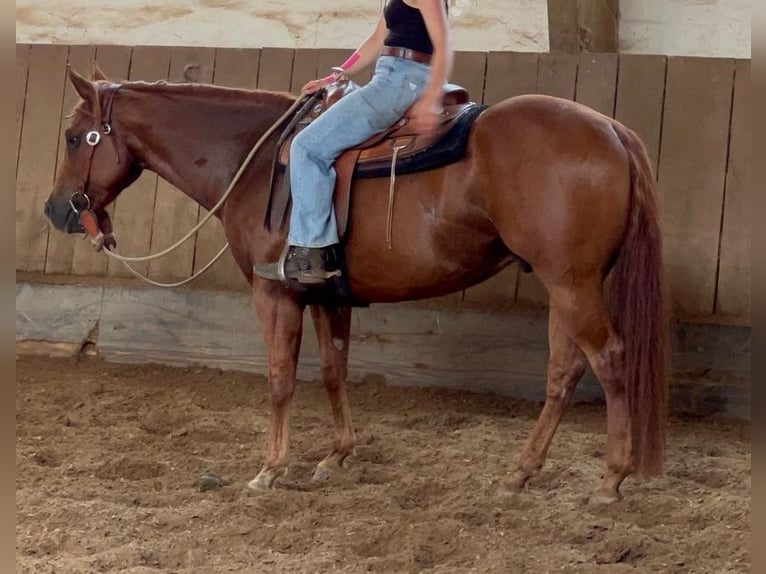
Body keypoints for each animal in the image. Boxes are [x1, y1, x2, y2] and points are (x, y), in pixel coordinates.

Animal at [45, 68, 664, 504]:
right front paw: (336, 456)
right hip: (565, 286)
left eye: (75, 138)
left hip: (574, 284)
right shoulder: (326, 294)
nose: (56, 211)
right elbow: (333, 371)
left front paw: (270, 469)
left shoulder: (276, 295)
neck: (257, 160)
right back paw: (520, 474)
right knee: (565, 371)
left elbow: (280, 379)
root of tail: (611, 129)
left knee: (610, 358)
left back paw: (611, 479)